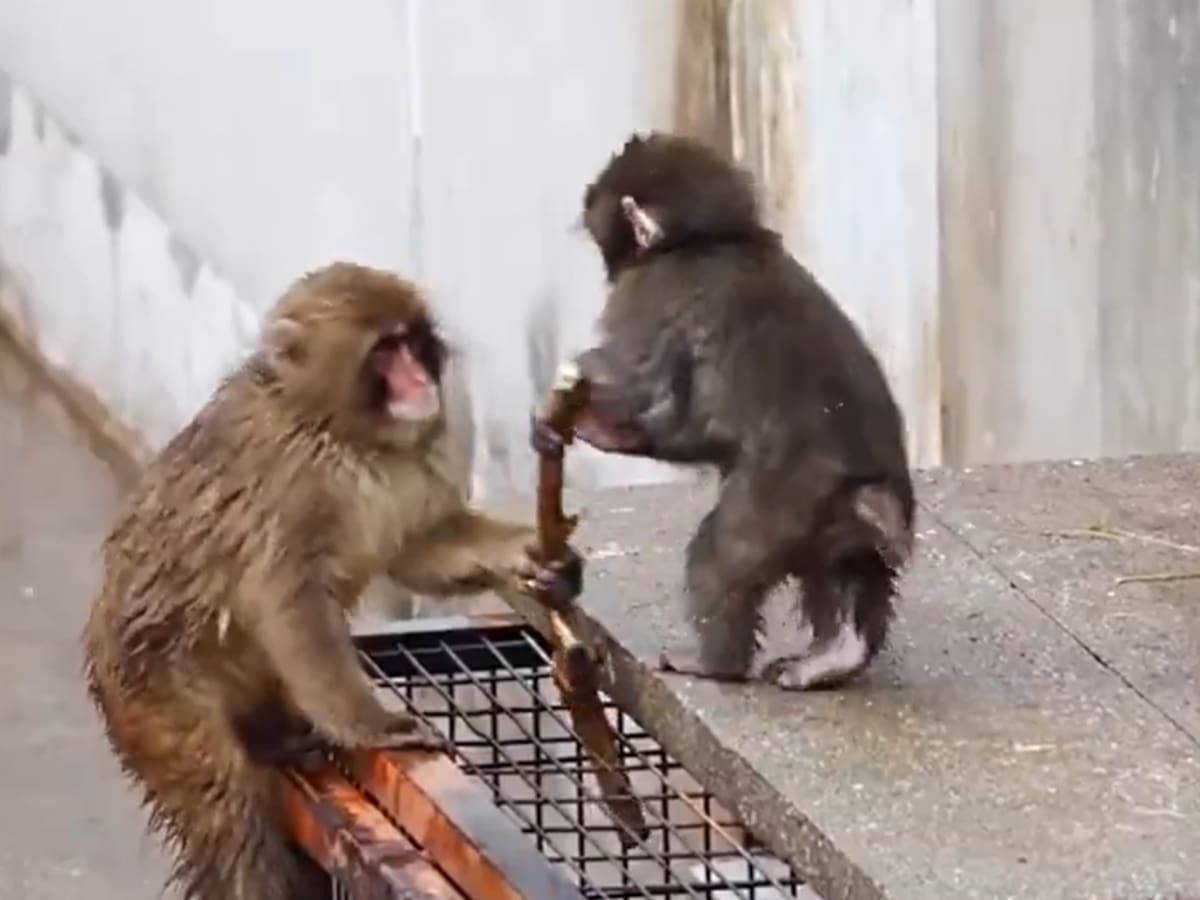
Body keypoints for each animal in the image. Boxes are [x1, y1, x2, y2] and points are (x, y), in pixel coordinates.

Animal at [82, 261, 582, 900]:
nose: (420, 379)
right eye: (386, 350)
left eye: (413, 341)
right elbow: (294, 604)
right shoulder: (290, 490)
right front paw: (373, 727)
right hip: (156, 694)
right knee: (229, 815)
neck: (345, 434)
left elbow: (418, 550)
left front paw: (530, 554)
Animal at [534, 132, 914, 692]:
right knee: (847, 570)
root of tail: (869, 488)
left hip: (779, 508)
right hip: (836, 524)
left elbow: (651, 394)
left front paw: (584, 420)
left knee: (719, 559)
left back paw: (717, 664)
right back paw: (835, 658)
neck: (713, 239)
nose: (609, 267)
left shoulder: (647, 294)